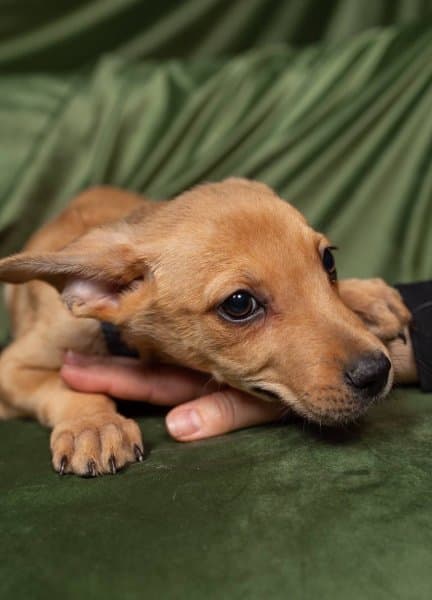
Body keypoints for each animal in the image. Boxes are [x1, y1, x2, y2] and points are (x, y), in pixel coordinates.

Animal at [0, 178, 411, 476]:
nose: (376, 373)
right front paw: (94, 426)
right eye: (239, 304)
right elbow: (66, 387)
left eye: (328, 261)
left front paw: (364, 296)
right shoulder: (12, 369)